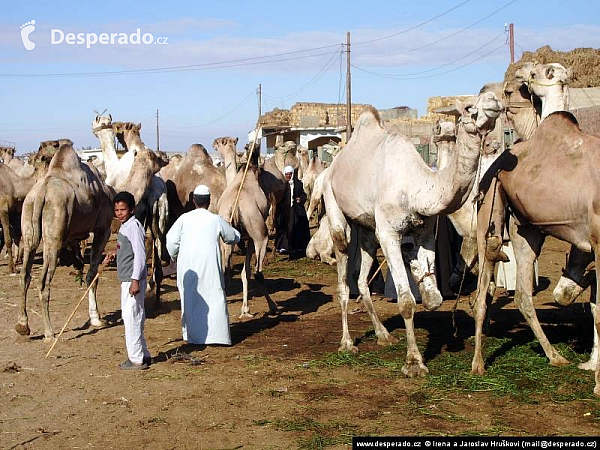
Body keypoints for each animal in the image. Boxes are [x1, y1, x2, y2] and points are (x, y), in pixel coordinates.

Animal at [15, 143, 114, 338]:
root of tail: (41, 194)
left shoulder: (74, 236)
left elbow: (80, 264)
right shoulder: (103, 228)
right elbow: (92, 274)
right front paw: (96, 319)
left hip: (29, 224)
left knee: (25, 275)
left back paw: (23, 325)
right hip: (54, 236)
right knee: (43, 281)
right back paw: (49, 333)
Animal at [214, 139, 278, 318]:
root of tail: (234, 209)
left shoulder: (244, 238)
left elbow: (244, 272)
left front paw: (245, 308)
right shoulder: (252, 237)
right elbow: (248, 271)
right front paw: (246, 309)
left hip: (225, 240)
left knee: (225, 273)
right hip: (260, 235)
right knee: (258, 272)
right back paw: (273, 306)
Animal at [324, 91, 502, 376]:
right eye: (468, 107)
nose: (494, 99)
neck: (415, 187)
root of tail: (333, 165)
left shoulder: (425, 233)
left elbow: (433, 299)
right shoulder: (388, 233)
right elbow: (406, 301)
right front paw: (414, 363)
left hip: (367, 227)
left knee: (362, 278)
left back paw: (383, 335)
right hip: (335, 207)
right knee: (342, 271)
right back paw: (347, 344)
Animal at [474, 110, 600, 398]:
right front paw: (599, 383)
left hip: (526, 229)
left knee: (522, 294)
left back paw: (555, 356)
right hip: (491, 204)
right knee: (487, 270)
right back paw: (477, 364)